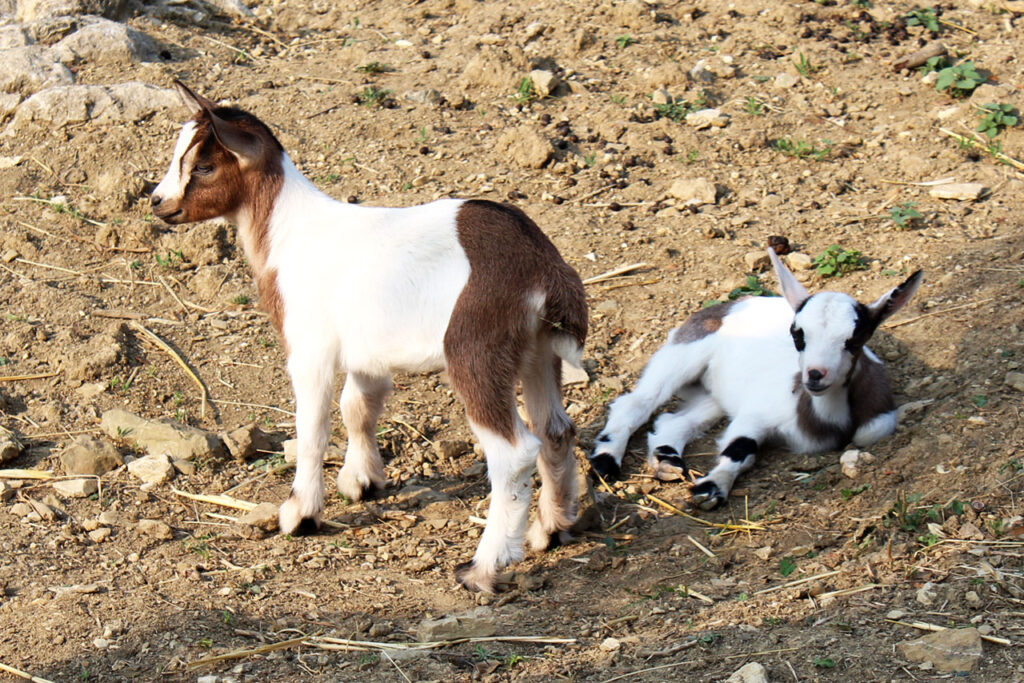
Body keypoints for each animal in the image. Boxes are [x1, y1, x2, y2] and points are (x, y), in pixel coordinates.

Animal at [150, 82, 588, 592]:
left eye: (203, 166)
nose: (157, 201)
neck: (286, 231)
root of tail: (542, 267)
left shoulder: (311, 349)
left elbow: (313, 428)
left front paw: (300, 514)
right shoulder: (366, 353)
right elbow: (357, 407)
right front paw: (362, 482)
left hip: (476, 347)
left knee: (514, 453)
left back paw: (483, 566)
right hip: (538, 348)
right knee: (556, 429)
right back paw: (551, 529)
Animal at [589, 248, 921, 509]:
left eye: (854, 340)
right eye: (797, 334)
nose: (814, 375)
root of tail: (730, 304)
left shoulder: (878, 421)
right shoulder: (757, 413)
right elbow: (741, 448)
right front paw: (711, 489)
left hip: (714, 395)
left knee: (674, 420)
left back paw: (667, 460)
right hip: (683, 353)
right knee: (635, 404)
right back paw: (606, 461)